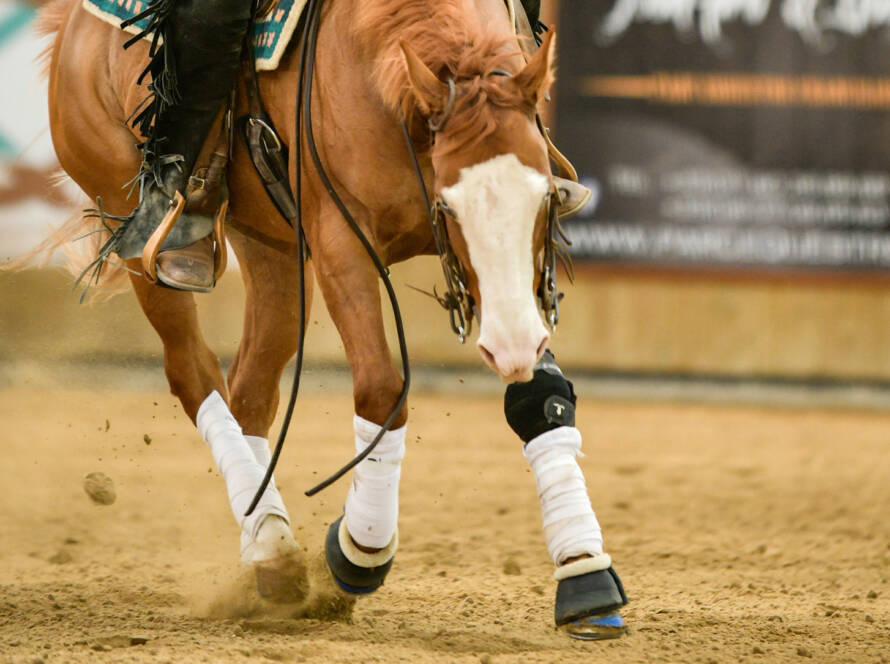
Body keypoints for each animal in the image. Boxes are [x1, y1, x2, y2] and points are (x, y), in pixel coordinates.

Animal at [38, 0, 624, 640]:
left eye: (543, 196)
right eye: (446, 204)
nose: (512, 346)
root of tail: (69, 30)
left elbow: (540, 396)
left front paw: (585, 574)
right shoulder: (342, 241)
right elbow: (382, 388)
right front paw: (360, 548)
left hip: (271, 250)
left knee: (250, 393)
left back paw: (262, 542)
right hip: (135, 224)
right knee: (193, 371)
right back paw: (272, 549)